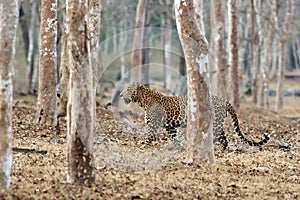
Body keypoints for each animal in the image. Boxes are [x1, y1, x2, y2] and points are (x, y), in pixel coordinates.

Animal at [119, 82, 270, 150]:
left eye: (127, 89)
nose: (120, 95)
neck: (143, 101)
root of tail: (224, 100)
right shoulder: (170, 127)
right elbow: (174, 138)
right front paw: (181, 147)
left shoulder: (153, 124)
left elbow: (149, 136)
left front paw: (143, 145)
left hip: (215, 123)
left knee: (221, 138)